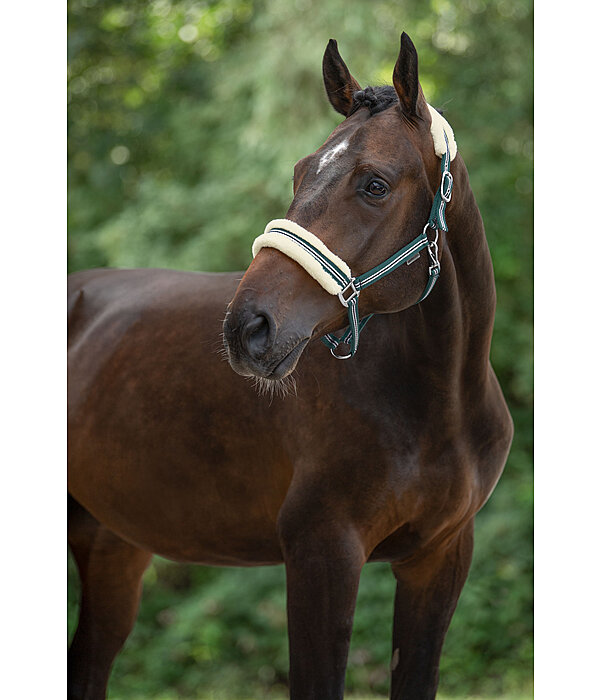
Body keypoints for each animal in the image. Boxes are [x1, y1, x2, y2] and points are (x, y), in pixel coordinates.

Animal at [68, 32, 512, 700]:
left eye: (375, 184)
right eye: (302, 172)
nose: (247, 328)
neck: (440, 403)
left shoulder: (439, 558)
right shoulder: (321, 556)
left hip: (112, 545)